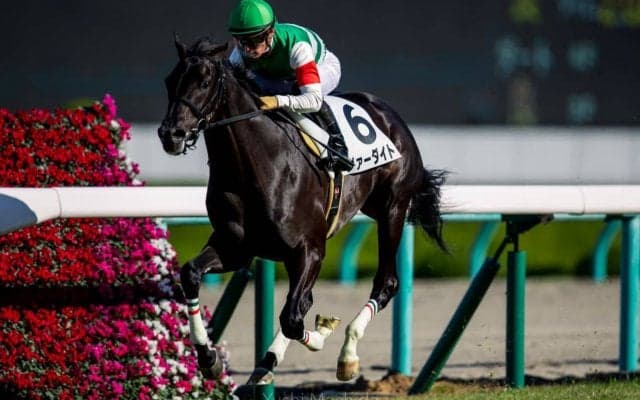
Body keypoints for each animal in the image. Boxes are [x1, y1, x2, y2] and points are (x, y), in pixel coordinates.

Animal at [157, 35, 446, 385]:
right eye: (169, 80)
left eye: (204, 82)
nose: (170, 134)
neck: (254, 167)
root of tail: (389, 115)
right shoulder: (235, 247)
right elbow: (190, 274)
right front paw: (208, 356)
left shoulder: (310, 250)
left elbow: (293, 318)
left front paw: (326, 335)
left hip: (393, 209)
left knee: (385, 283)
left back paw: (347, 353)